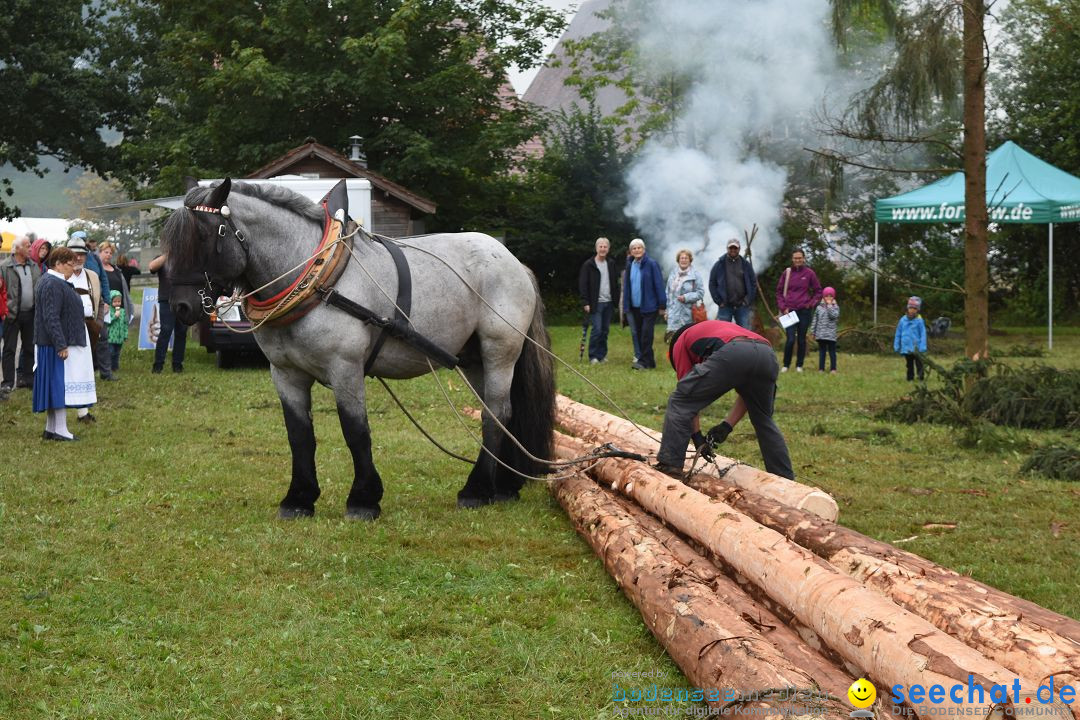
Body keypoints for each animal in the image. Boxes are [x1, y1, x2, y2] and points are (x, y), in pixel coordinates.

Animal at [166, 179, 557, 518]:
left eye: (204, 235)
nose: (181, 307)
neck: (316, 279)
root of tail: (513, 261)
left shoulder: (345, 367)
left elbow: (355, 431)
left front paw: (364, 500)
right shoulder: (286, 374)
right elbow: (299, 435)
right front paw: (299, 499)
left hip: (499, 352)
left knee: (497, 414)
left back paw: (476, 491)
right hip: (472, 359)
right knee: (500, 415)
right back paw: (502, 486)